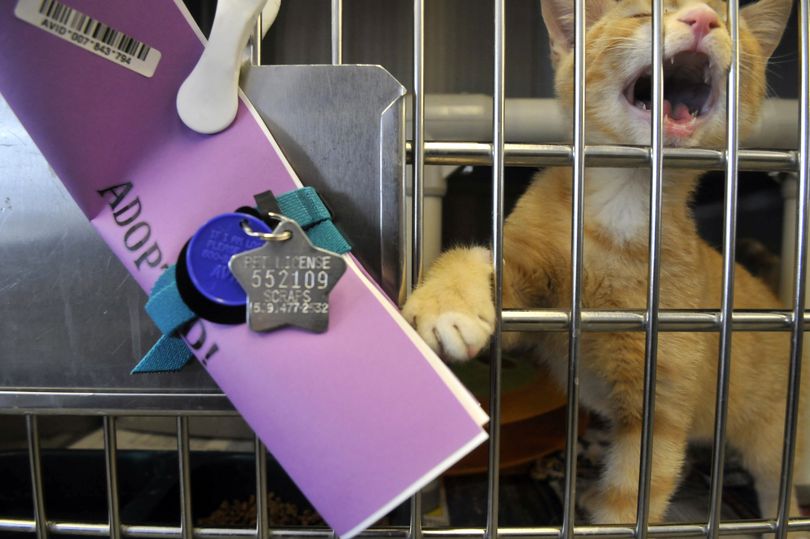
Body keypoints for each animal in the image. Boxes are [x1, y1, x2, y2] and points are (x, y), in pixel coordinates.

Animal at [402, 0, 796, 528]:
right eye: (639, 14)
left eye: (727, 22)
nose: (702, 18)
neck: (624, 201)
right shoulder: (529, 302)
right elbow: (471, 256)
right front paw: (448, 303)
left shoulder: (660, 402)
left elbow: (632, 497)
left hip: (775, 438)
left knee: (780, 490)